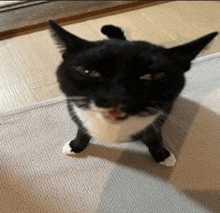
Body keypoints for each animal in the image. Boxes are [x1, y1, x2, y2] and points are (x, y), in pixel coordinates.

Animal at [49, 20, 217, 166]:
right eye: (88, 72)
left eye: (150, 76)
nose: (117, 96)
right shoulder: (75, 110)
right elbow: (82, 130)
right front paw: (76, 145)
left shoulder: (155, 121)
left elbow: (153, 137)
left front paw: (162, 155)